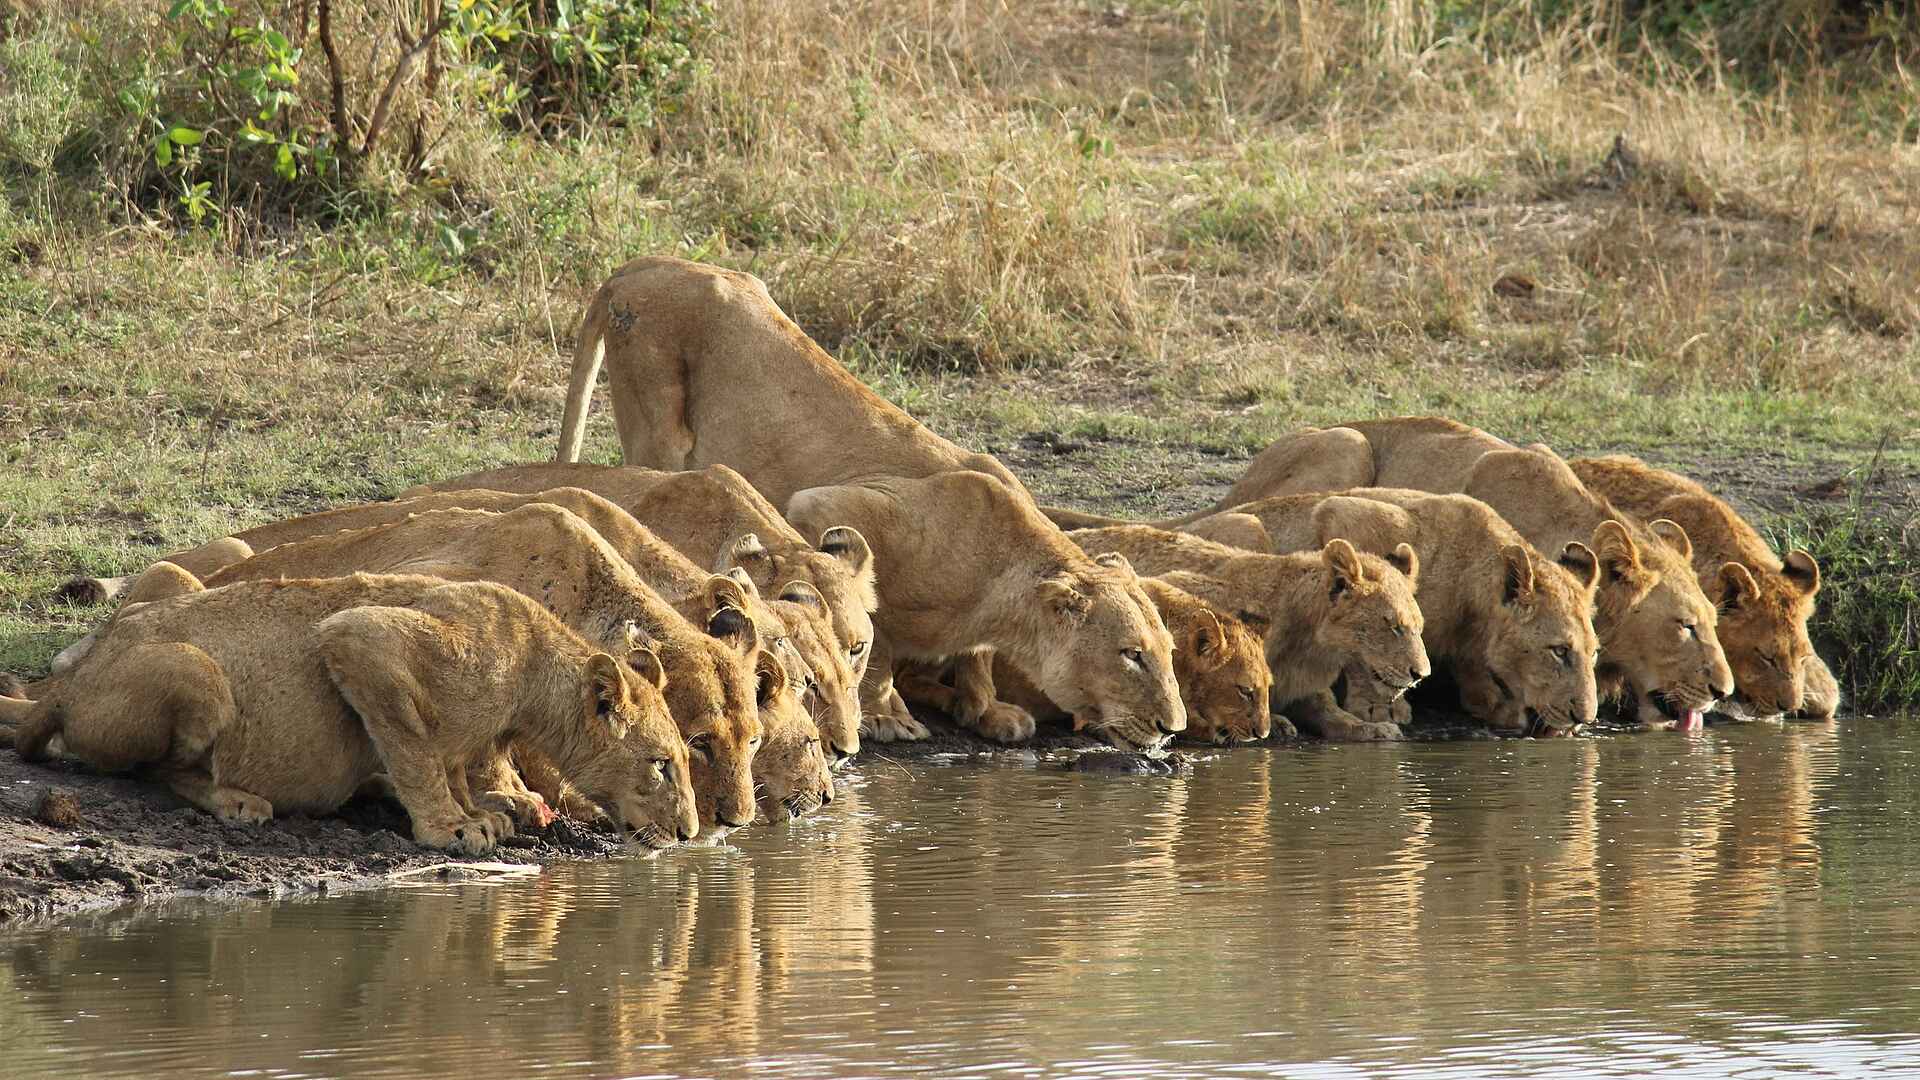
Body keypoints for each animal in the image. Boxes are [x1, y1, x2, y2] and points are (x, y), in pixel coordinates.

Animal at [8, 575, 697, 853]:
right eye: (662, 765)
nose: (692, 833)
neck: (533, 674)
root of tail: (66, 686)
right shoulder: (363, 641)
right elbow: (415, 752)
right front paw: (450, 828)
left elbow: (445, 761)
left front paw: (481, 812)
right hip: (195, 672)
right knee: (155, 771)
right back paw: (236, 800)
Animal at [786, 470, 1186, 751]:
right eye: (1132, 654)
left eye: (1170, 652)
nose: (1173, 729)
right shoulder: (820, 505)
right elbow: (873, 639)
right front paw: (885, 715)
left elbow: (978, 656)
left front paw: (984, 709)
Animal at [1065, 526, 1429, 741]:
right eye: (1393, 626)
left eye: (1418, 627)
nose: (1421, 674)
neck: (1309, 648)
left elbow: (1331, 712)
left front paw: (1373, 728)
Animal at [1182, 490, 1602, 735]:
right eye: (1560, 651)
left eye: (1594, 653)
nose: (1584, 718)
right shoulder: (1340, 514)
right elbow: (1360, 640)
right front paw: (1375, 705)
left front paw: (1494, 702)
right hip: (1249, 529)